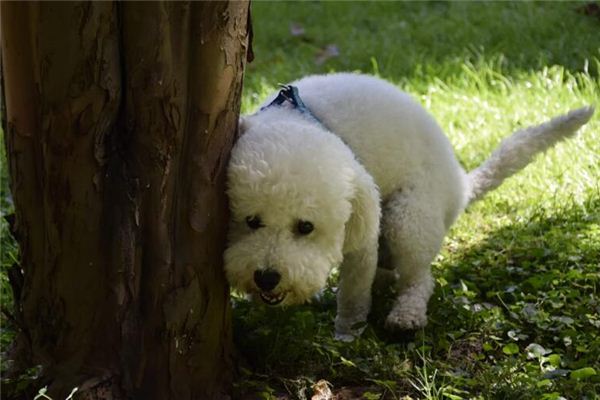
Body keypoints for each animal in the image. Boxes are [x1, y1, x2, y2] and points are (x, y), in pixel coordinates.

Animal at [223, 72, 592, 340]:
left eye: (305, 227)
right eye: (251, 221)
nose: (267, 277)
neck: (297, 118)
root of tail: (460, 185)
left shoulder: (363, 233)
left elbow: (354, 293)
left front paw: (347, 334)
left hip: (409, 217)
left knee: (420, 278)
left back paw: (406, 314)